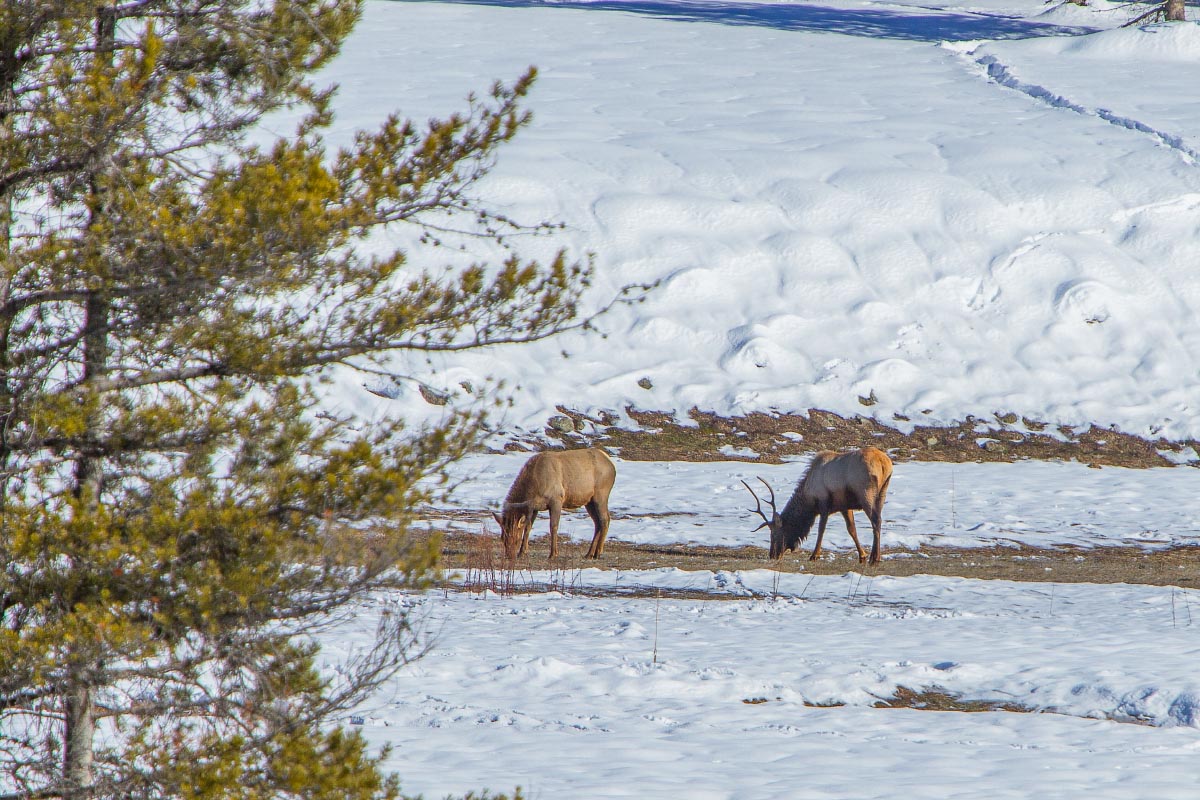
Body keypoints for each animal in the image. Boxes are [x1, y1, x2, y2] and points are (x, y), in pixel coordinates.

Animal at [744, 448, 897, 566]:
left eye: (774, 534)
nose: (772, 554)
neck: (809, 499)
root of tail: (884, 463)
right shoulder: (844, 506)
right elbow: (851, 529)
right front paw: (862, 556)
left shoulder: (824, 502)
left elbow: (821, 529)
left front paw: (814, 556)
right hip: (882, 492)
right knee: (878, 520)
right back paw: (873, 557)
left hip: (865, 493)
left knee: (876, 521)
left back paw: (875, 558)